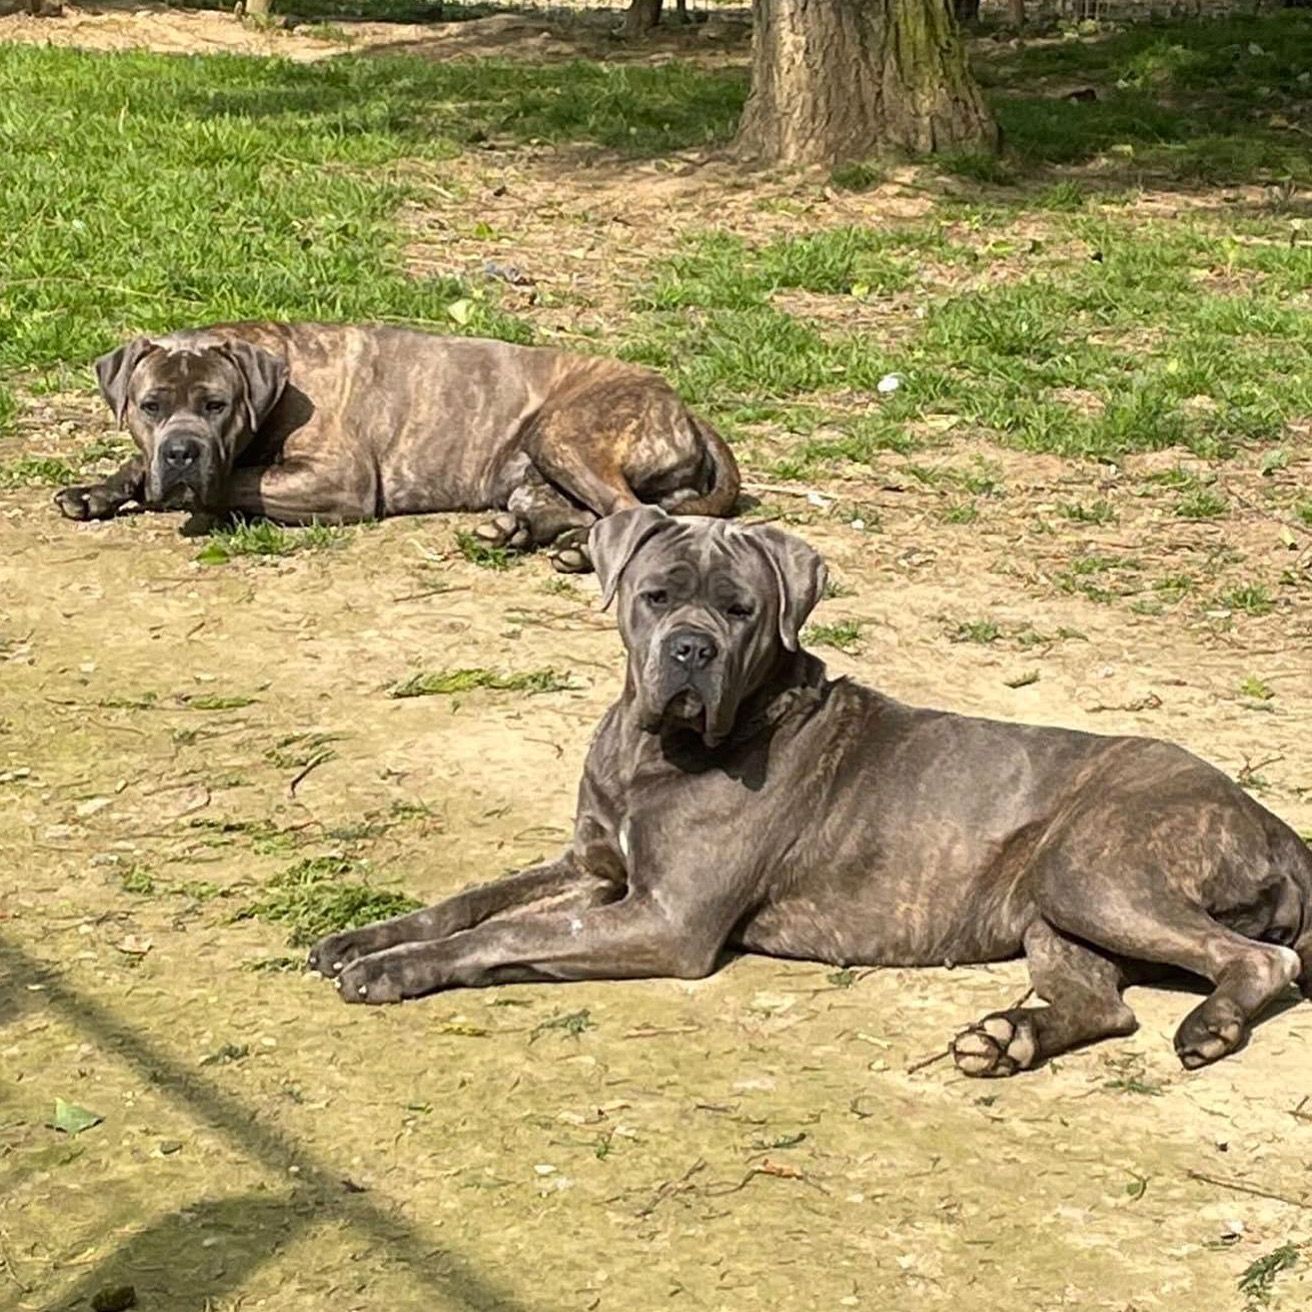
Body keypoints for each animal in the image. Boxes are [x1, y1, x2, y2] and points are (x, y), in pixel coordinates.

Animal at [51, 322, 739, 569]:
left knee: (634, 513)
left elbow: (240, 480)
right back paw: (519, 532)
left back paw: (577, 551)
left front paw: (193, 496)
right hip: (532, 466)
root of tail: (684, 404)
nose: (182, 452)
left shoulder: (337, 481)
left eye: (216, 406)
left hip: (566, 431)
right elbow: (135, 463)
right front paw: (98, 490)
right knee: (576, 508)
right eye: (150, 407)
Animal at [309, 506, 1312, 1070]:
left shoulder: (663, 919)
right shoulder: (595, 867)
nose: (691, 650)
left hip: (1095, 872)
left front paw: (395, 971)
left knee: (1262, 962)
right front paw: (363, 937)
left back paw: (1210, 1028)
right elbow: (476, 899)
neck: (658, 747)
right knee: (1103, 1002)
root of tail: (1271, 820)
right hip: (1051, 909)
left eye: (742, 610)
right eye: (656, 595)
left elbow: (510, 933)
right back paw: (1006, 1040)